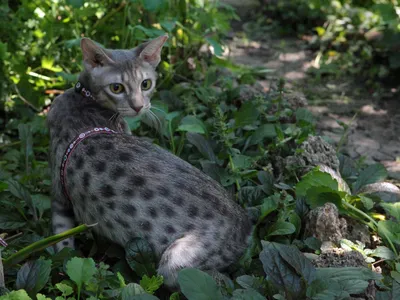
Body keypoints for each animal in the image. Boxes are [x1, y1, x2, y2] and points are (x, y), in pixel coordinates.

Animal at [47, 34, 250, 286]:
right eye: (116, 87)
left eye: (146, 84)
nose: (138, 106)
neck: (82, 99)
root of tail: (246, 227)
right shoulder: (60, 195)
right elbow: (63, 244)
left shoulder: (59, 196)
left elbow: (62, 243)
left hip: (174, 263)